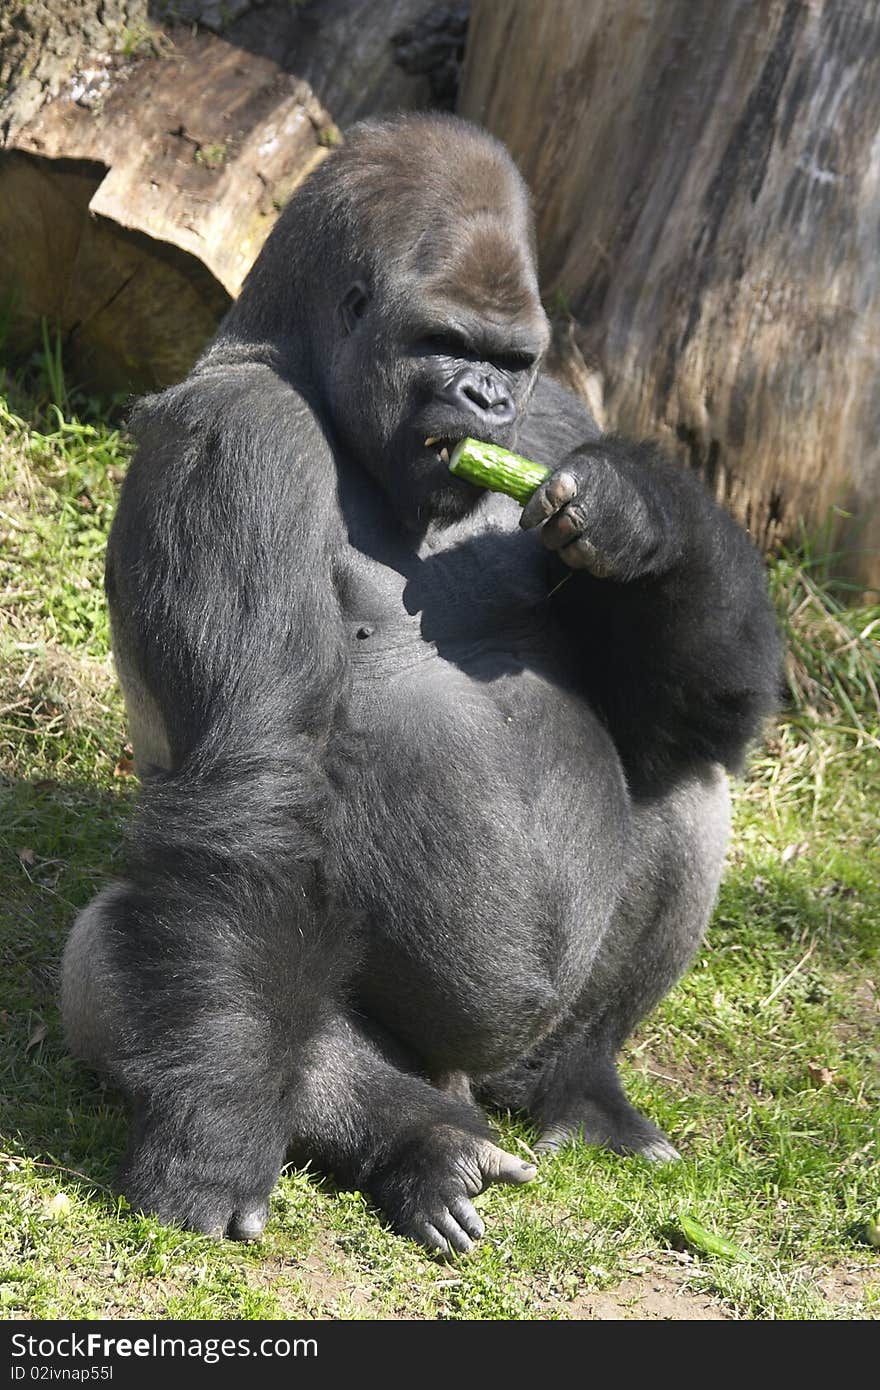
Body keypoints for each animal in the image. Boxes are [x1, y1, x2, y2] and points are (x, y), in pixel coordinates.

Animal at [60, 113, 772, 1256]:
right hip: (383, 1043)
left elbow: (674, 709)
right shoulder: (237, 447)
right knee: (128, 954)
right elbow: (257, 782)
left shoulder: (558, 418)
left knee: (689, 773)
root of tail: (471, 1084)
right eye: (445, 342)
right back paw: (413, 1141)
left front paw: (643, 514)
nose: (486, 399)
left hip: (527, 1051)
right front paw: (214, 1146)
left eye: (510, 360)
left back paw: (579, 1087)